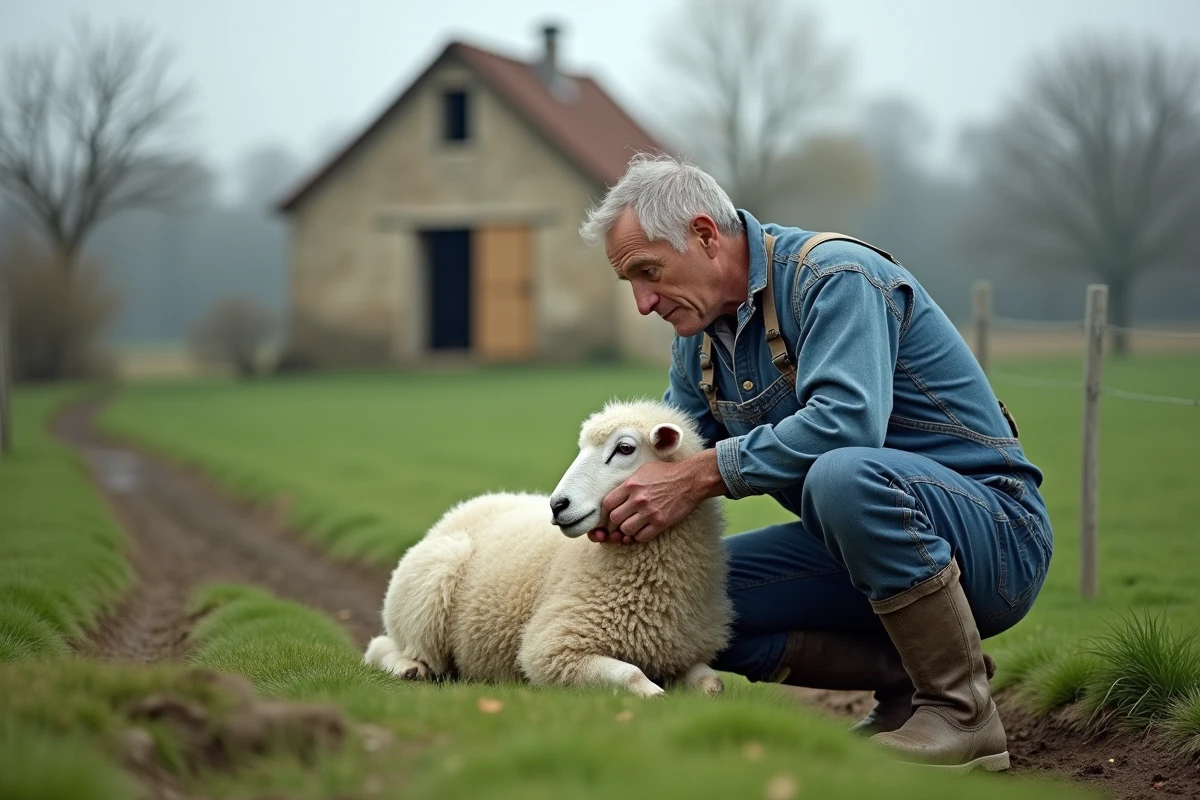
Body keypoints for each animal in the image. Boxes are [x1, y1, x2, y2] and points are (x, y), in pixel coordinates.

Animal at [363, 398, 732, 698]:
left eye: (625, 448)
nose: (557, 505)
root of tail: (461, 509)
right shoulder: (553, 648)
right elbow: (632, 676)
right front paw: (654, 695)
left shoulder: (684, 653)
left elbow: (713, 683)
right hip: (427, 593)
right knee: (385, 646)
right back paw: (409, 668)